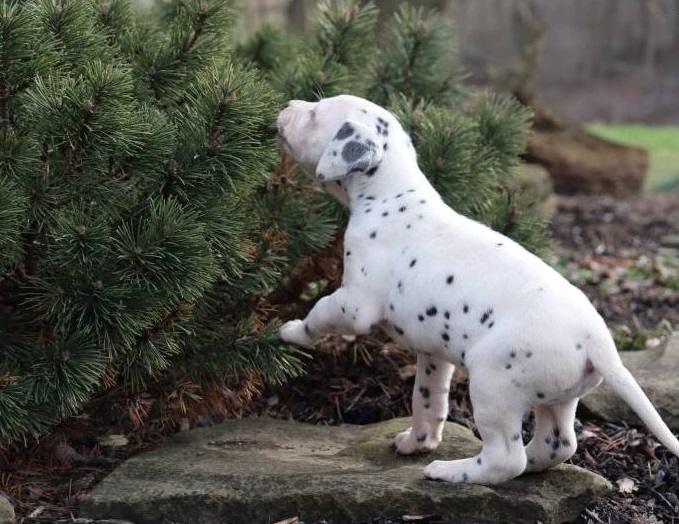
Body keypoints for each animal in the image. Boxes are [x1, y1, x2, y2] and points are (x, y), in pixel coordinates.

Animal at [274, 95, 679, 488]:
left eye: (314, 113)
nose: (288, 105)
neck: (394, 196)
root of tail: (597, 340)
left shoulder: (354, 304)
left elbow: (320, 312)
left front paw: (291, 331)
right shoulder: (434, 354)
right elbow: (427, 402)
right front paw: (415, 441)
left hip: (492, 386)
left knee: (505, 458)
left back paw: (453, 471)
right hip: (558, 398)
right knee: (557, 445)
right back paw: (525, 464)